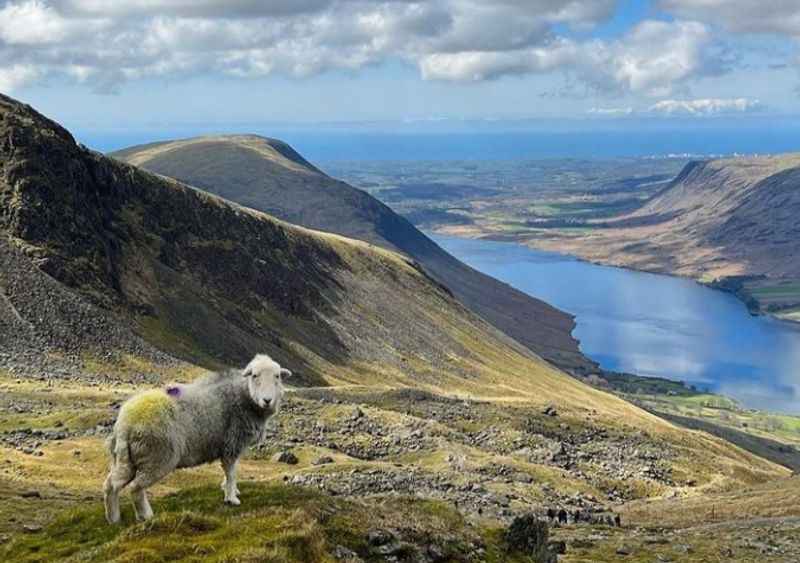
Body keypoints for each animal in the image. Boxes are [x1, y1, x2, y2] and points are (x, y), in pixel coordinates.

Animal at [101, 354, 290, 528]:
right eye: (255, 375)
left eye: (277, 376)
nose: (267, 400)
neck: (243, 396)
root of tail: (125, 423)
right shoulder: (232, 443)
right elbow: (231, 472)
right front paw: (231, 498)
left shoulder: (231, 446)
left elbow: (231, 472)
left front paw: (230, 490)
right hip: (157, 456)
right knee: (136, 487)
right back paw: (146, 516)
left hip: (126, 458)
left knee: (111, 485)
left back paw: (113, 519)